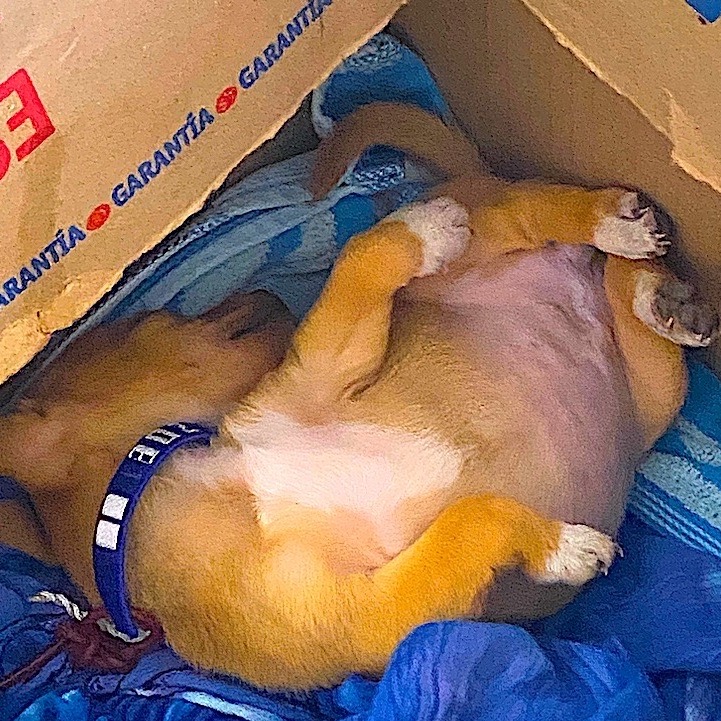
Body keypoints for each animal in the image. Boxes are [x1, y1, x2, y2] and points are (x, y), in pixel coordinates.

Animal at [0, 102, 717, 690]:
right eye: (156, 321)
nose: (269, 297)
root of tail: (474, 175)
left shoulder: (321, 371)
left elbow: (362, 258)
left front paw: (414, 229)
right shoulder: (380, 613)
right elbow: (475, 518)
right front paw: (561, 548)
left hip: (509, 248)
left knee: (541, 219)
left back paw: (617, 234)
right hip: (653, 393)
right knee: (609, 288)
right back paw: (656, 292)